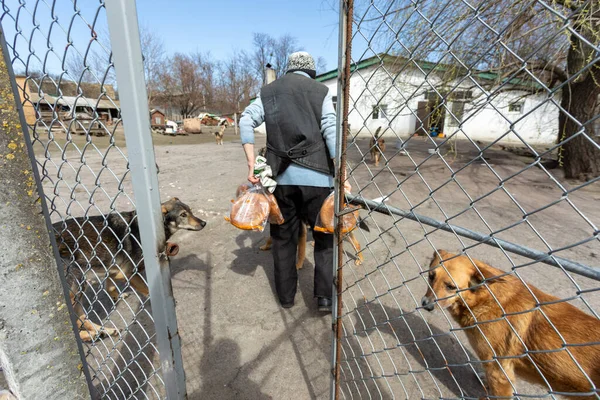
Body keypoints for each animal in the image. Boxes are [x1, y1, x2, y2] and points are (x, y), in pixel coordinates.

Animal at [53, 198, 206, 340]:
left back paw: (102, 331)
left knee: (80, 316)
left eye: (190, 211)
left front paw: (117, 295)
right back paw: (91, 334)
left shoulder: (116, 268)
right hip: (77, 282)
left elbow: (109, 284)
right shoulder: (128, 272)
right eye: (183, 214)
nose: (204, 223)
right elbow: (147, 289)